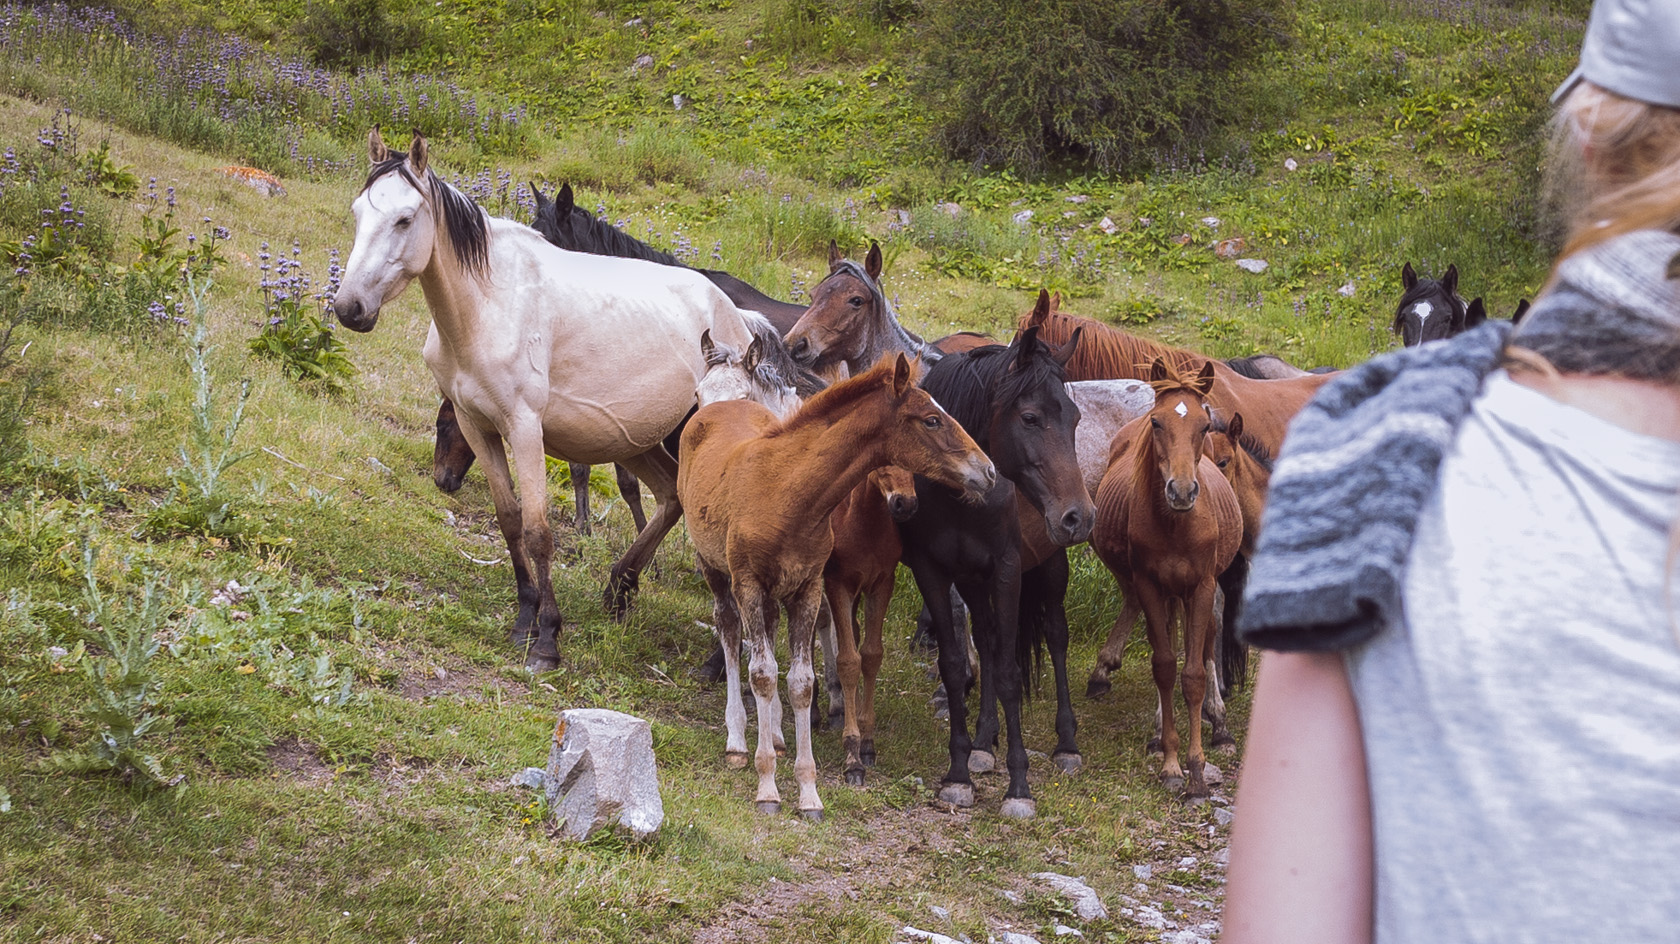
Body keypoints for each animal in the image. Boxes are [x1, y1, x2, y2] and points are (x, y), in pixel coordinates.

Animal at [329, 128, 762, 665]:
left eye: (405, 219)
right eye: (357, 213)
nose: (350, 308)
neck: (488, 307)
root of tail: (738, 318)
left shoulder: (524, 427)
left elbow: (539, 532)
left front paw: (548, 639)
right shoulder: (479, 426)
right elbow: (510, 521)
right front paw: (523, 620)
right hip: (638, 441)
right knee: (669, 495)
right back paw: (619, 589)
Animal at [900, 322, 1095, 816]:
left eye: (1075, 419)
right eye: (1029, 417)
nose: (1079, 517)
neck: (960, 499)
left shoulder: (1008, 571)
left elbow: (1009, 673)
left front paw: (1019, 786)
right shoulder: (934, 573)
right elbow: (955, 666)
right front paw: (958, 773)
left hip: (1049, 570)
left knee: (1055, 636)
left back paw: (1067, 745)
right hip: (974, 581)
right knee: (987, 640)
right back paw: (984, 742)